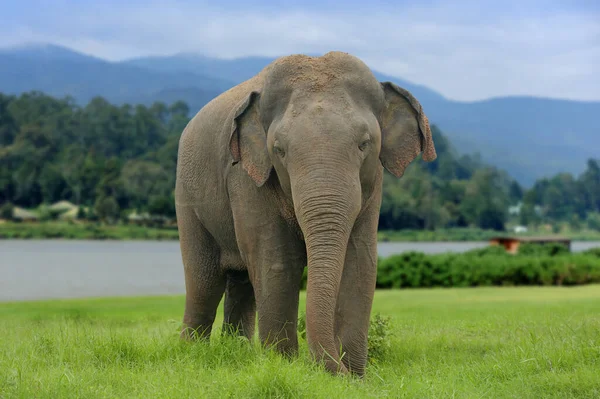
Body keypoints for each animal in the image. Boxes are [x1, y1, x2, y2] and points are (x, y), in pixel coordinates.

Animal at [173, 50, 436, 378]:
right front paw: (284, 366)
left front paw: (355, 377)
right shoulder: (246, 177)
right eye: (279, 149)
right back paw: (191, 353)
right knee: (204, 282)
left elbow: (361, 260)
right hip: (187, 197)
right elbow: (277, 262)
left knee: (241, 284)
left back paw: (237, 352)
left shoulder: (373, 183)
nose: (336, 368)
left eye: (364, 144)